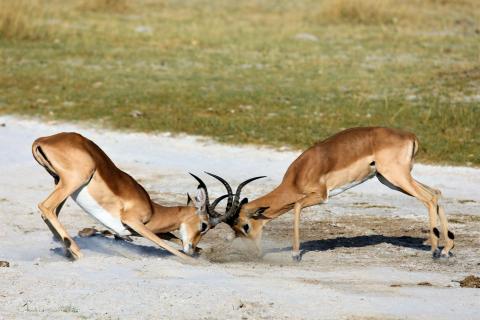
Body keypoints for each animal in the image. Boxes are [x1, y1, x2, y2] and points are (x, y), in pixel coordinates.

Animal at [31, 131, 228, 262]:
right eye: (204, 225)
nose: (191, 248)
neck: (153, 210)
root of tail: (43, 140)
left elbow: (172, 237)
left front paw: (199, 251)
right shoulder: (134, 222)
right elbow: (166, 245)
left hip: (61, 183)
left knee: (51, 213)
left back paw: (68, 251)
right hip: (74, 181)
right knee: (46, 207)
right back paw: (77, 252)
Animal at [206, 126, 454, 262]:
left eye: (246, 226)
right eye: (236, 229)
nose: (256, 253)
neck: (298, 174)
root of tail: (410, 135)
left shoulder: (320, 196)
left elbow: (296, 208)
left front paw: (295, 255)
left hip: (395, 177)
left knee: (430, 198)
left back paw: (434, 250)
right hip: (391, 180)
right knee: (437, 192)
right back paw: (446, 250)